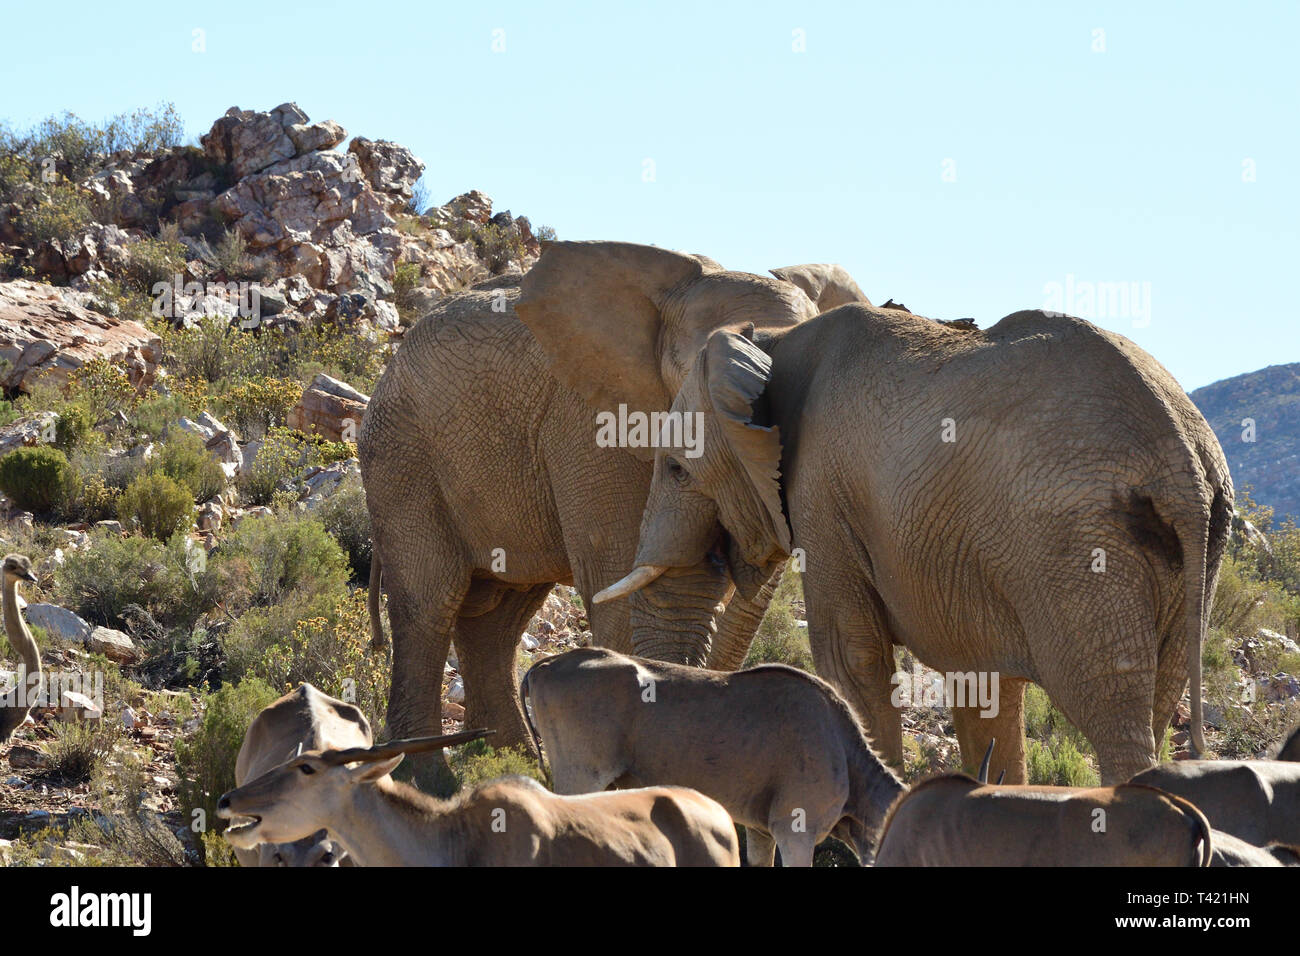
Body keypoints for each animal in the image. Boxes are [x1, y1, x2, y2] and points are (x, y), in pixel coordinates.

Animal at [358, 243, 863, 790]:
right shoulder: (592, 427)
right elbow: (637, 583)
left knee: (497, 614)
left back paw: (513, 766)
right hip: (401, 456)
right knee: (431, 600)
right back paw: (429, 780)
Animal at [585, 300, 1232, 785]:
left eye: (674, 469)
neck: (773, 339)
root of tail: (1182, 461)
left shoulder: (825, 494)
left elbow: (851, 661)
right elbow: (985, 687)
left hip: (1080, 549)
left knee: (1111, 714)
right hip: (1190, 558)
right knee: (1157, 700)